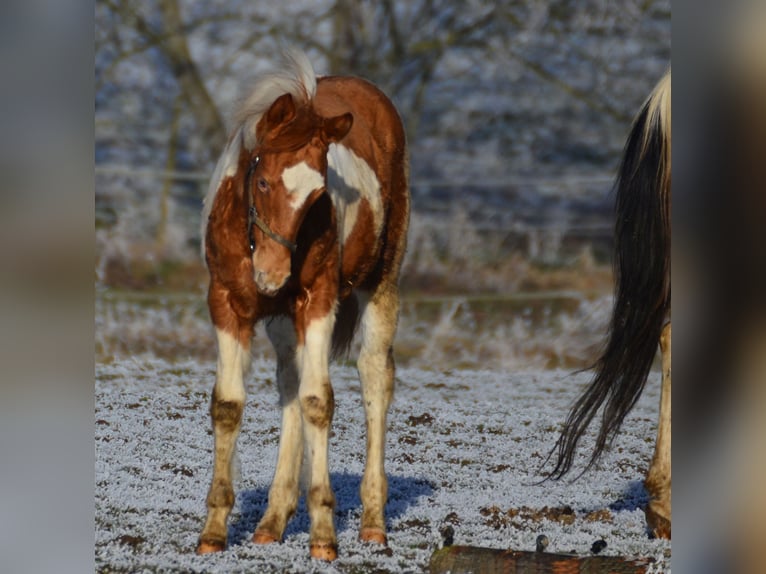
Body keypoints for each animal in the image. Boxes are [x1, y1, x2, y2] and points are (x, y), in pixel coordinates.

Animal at [201, 51, 412, 560]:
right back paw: (271, 522)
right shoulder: (226, 304)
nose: (272, 275)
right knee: (289, 381)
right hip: (282, 320)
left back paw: (373, 523)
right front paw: (213, 533)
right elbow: (229, 404)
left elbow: (319, 400)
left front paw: (323, 535)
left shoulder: (318, 301)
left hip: (380, 282)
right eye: (261, 182)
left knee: (374, 375)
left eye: (319, 195)